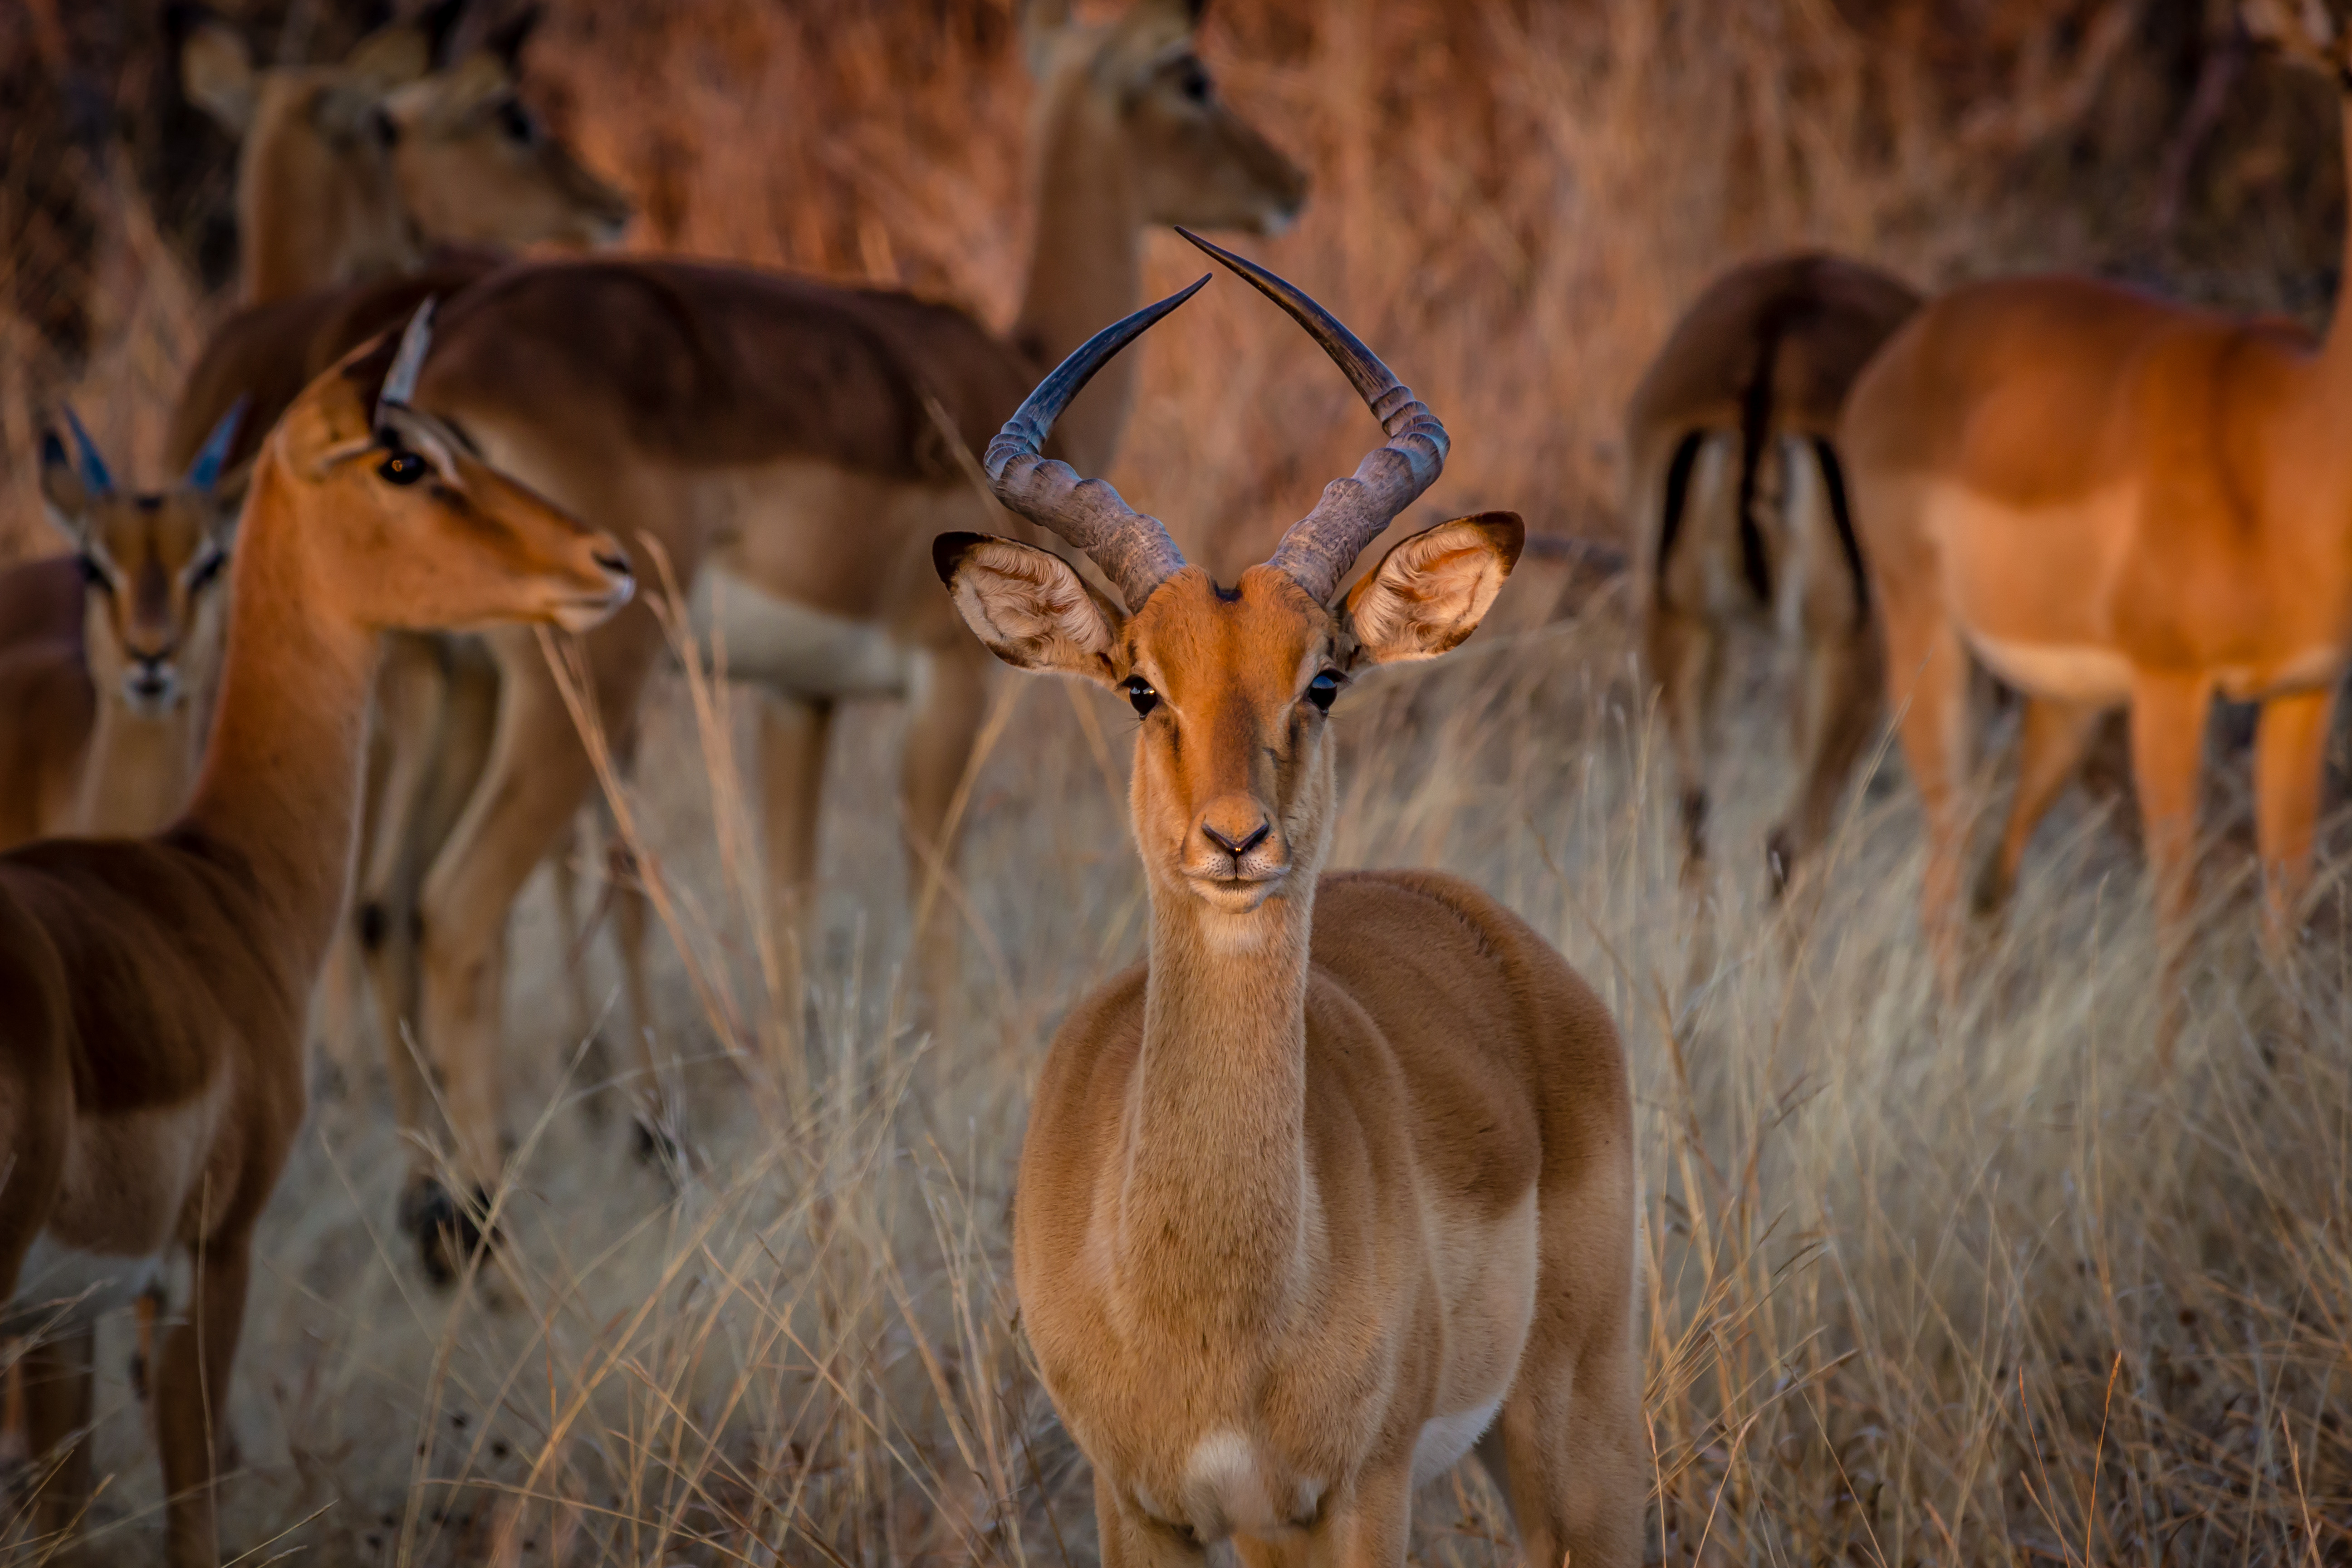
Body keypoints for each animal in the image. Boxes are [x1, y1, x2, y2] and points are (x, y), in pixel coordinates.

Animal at [0, 306, 632, 1568]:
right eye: (404, 460)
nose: (605, 560)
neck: (223, 877)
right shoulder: (208, 1255)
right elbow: (191, 1515)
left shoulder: (63, 1313)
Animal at [357, 0, 1304, 1281]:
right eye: (1193, 76)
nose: (1289, 182)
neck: (1014, 362)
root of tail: (435, 381)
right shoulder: (946, 683)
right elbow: (931, 885)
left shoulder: (797, 700)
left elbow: (791, 909)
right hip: (585, 676)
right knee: (459, 905)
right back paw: (485, 1235)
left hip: (447, 681)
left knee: (388, 904)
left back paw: (428, 1217)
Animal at [939, 232, 1642, 1567]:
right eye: (1140, 686)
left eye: (1322, 677)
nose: (1235, 838)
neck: (1211, 1306)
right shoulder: (1139, 1503)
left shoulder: (1351, 1494)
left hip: (1565, 1429)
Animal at [1837, 5, 2352, 1040]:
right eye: (2345, 66)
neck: (2293, 453)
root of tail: (1907, 345)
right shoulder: (2170, 685)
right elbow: (2177, 909)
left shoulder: (2303, 692)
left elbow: (2284, 909)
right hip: (1931, 648)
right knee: (1945, 869)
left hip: (2065, 709)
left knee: (1992, 878)